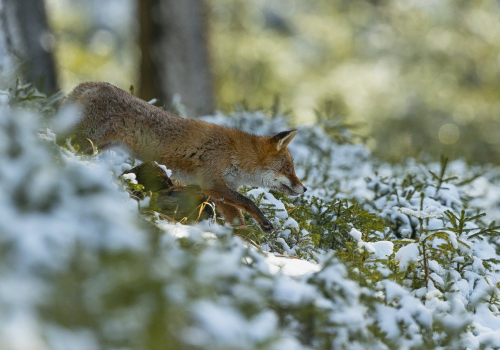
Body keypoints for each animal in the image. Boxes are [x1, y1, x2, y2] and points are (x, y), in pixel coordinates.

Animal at [61, 82, 306, 232]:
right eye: (287, 168)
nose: (304, 189)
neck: (235, 155)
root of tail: (90, 84)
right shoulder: (212, 183)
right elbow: (249, 202)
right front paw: (264, 224)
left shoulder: (219, 193)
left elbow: (239, 220)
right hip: (84, 141)